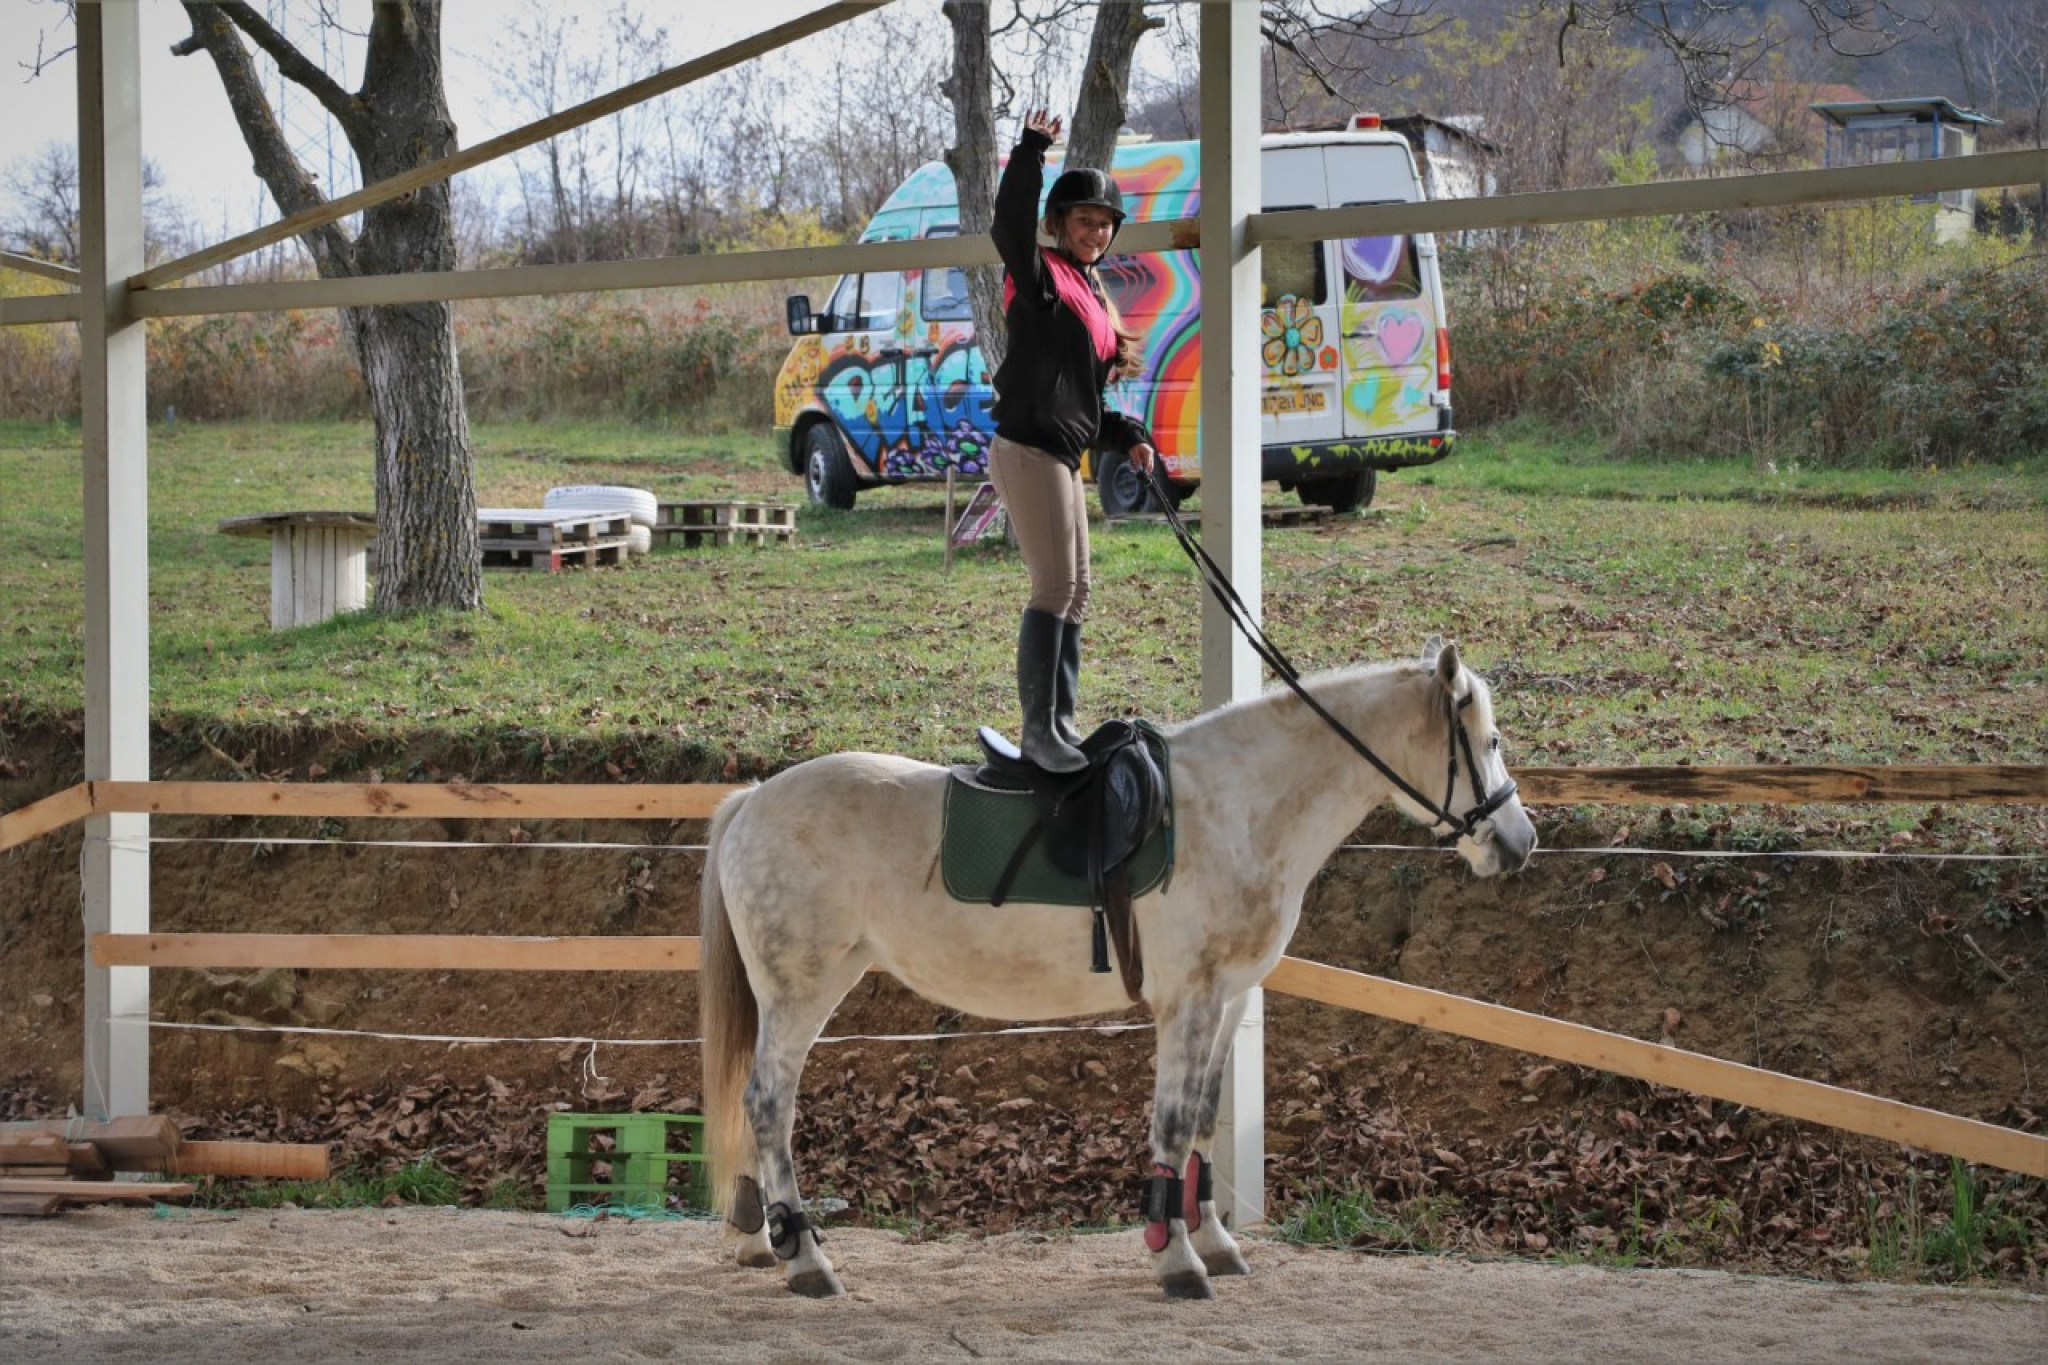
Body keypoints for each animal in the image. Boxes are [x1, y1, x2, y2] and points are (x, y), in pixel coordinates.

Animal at [700, 642, 1540, 1301]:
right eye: (1489, 740)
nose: (1520, 840)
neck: (1238, 807)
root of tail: (753, 799)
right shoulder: (1188, 1001)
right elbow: (1170, 1123)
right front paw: (1176, 1259)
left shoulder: (1228, 999)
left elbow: (1201, 1119)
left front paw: (1214, 1241)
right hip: (802, 991)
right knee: (769, 1103)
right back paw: (807, 1258)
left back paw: (761, 1239)